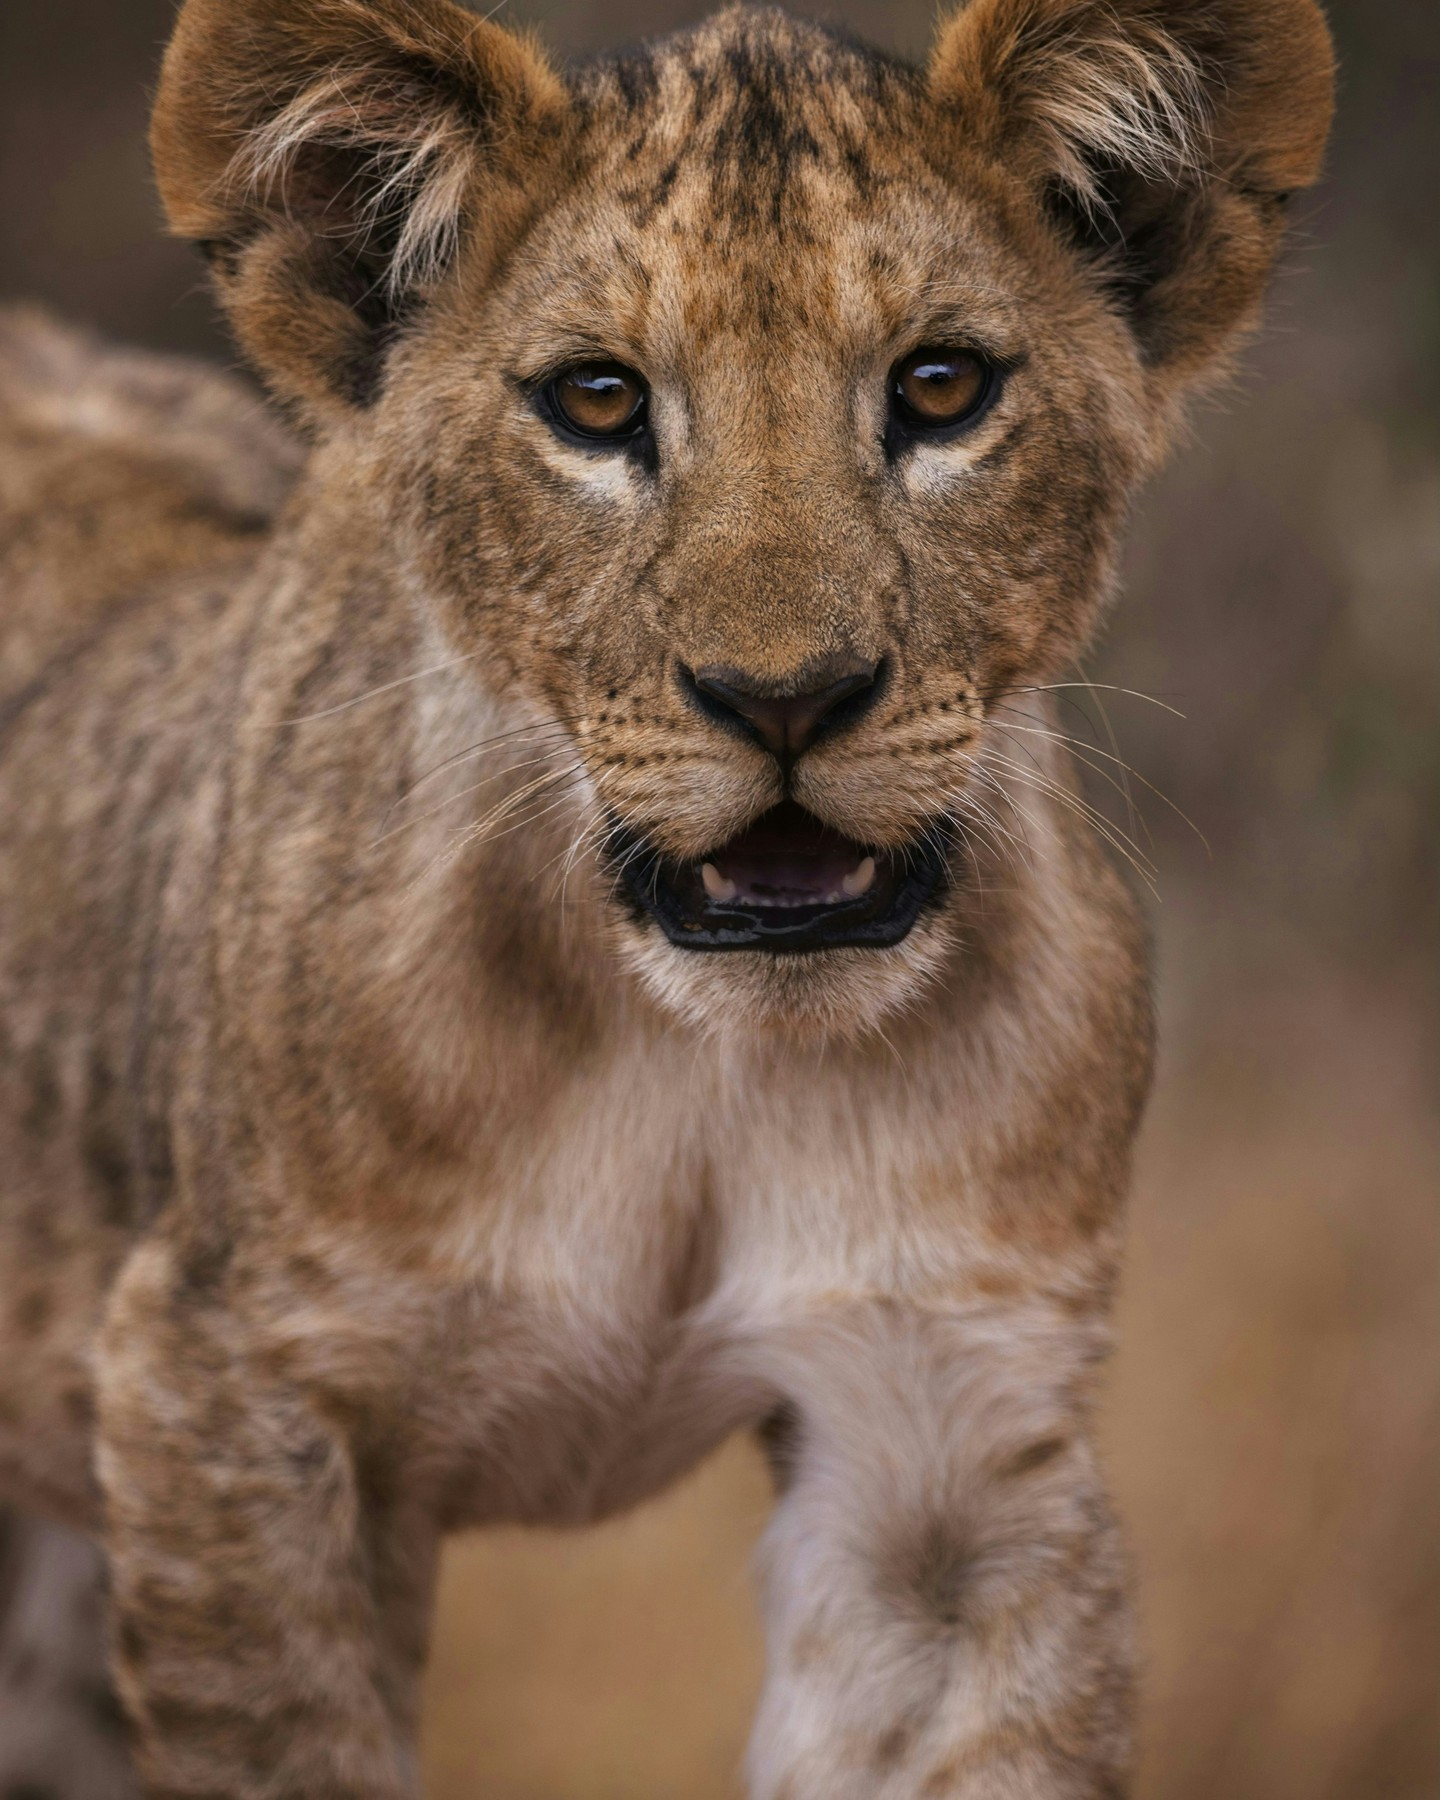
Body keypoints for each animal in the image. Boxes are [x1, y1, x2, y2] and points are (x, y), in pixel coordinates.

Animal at [0, 0, 1332, 1794]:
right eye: (597, 400)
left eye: (941, 386)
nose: (787, 698)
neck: (693, 1058)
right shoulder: (228, 1391)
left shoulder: (947, 1438)